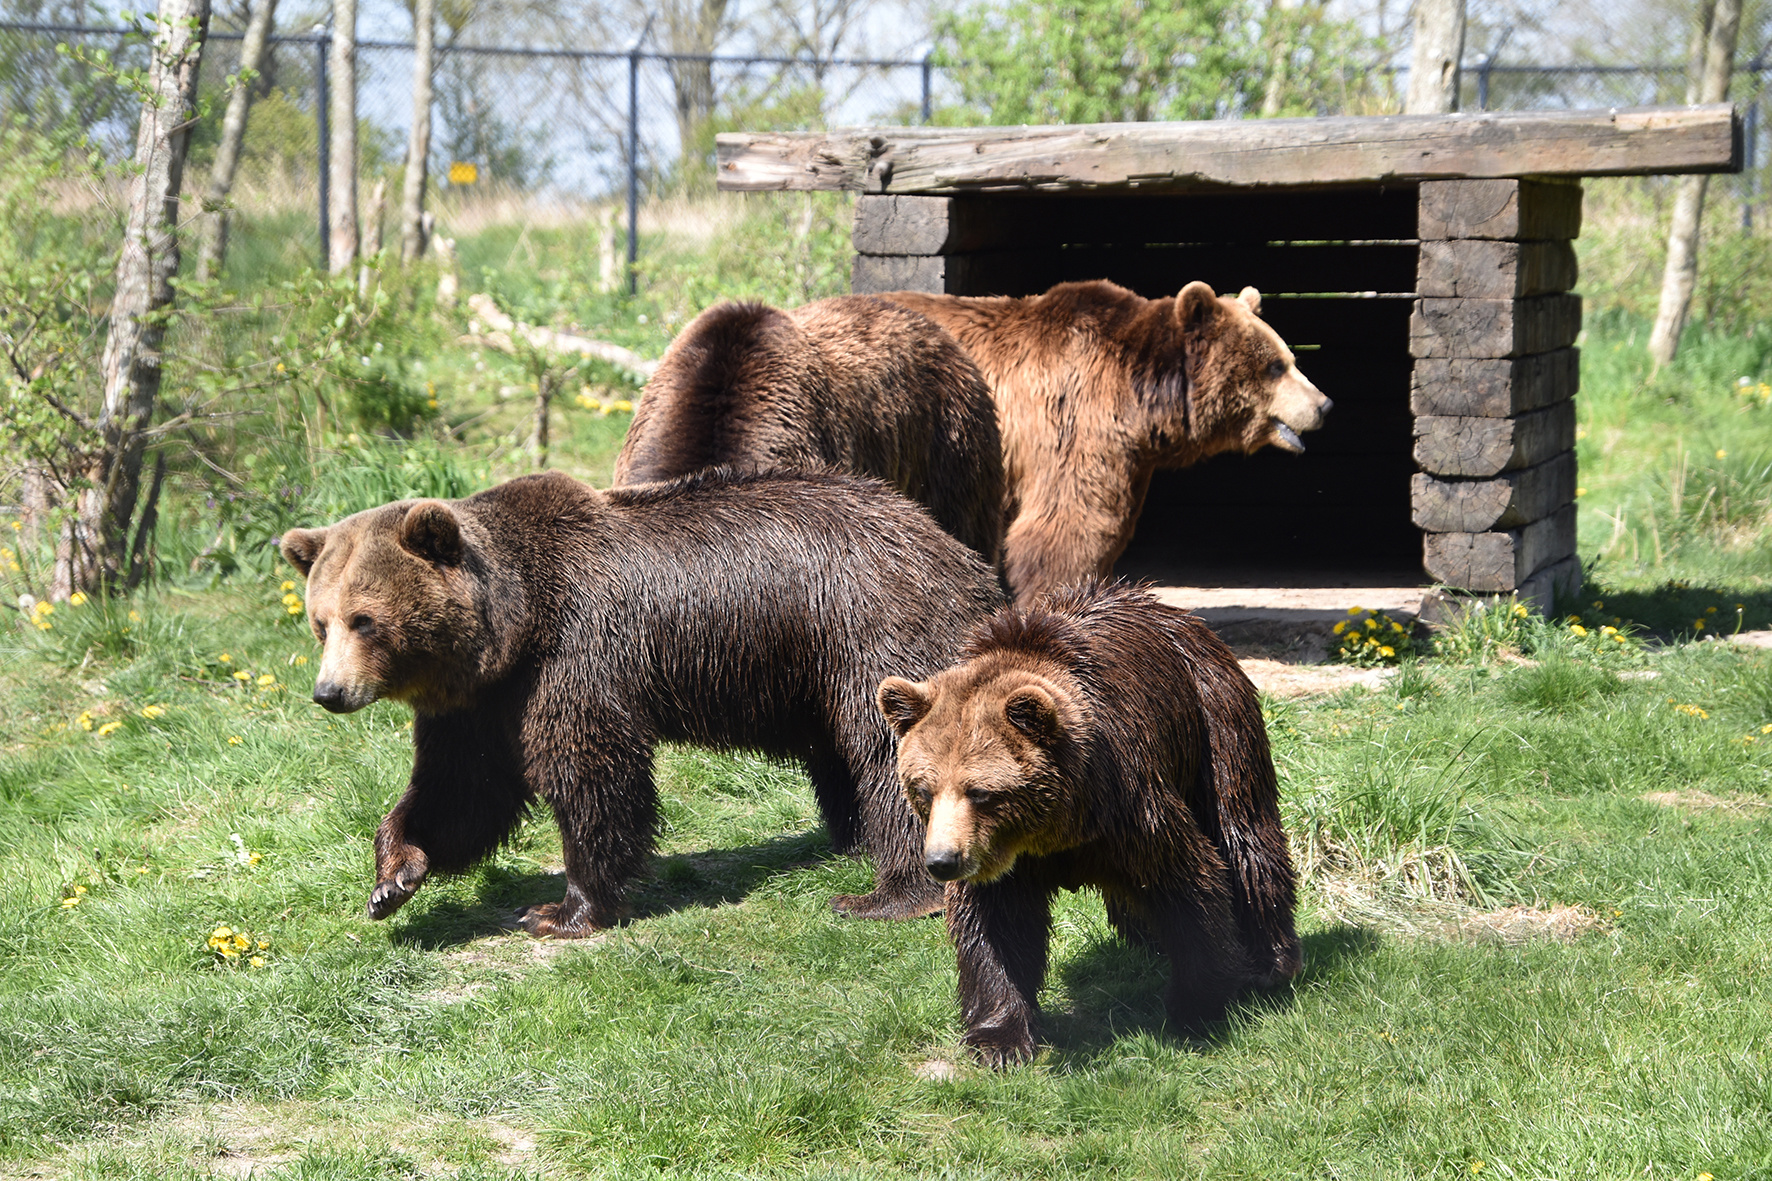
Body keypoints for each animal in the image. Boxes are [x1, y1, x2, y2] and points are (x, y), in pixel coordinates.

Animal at [276, 464, 1006, 936]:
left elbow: (590, 768)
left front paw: (563, 909)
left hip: (869, 628)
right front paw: (393, 877)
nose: (329, 692)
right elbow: (464, 787)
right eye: (321, 620)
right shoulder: (480, 701)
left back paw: (888, 893)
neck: (513, 624)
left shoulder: (574, 650)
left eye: (365, 620)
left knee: (889, 749)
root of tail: (960, 555)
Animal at [875, 581, 1304, 1063]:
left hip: (1213, 721)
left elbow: (1187, 881)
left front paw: (1198, 1003)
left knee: (1244, 831)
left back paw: (1271, 961)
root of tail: (1184, 617)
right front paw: (998, 1039)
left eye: (980, 792)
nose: (942, 861)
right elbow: (993, 925)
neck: (1057, 826)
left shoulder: (1129, 808)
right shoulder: (1006, 862)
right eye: (923, 789)